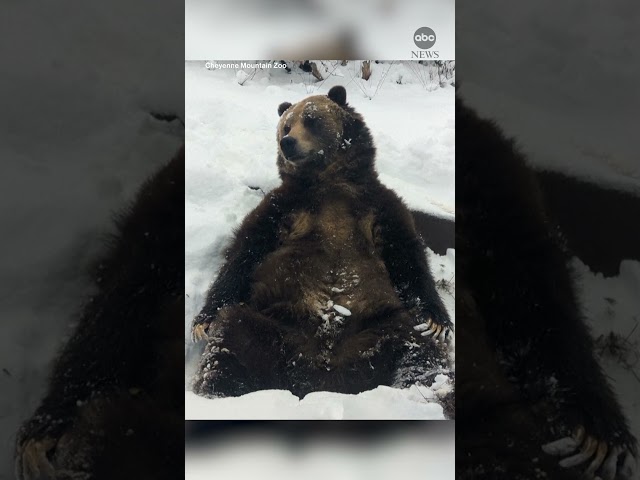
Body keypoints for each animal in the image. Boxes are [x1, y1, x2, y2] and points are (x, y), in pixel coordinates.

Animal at [190, 85, 456, 402]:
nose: (287, 143)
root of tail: (322, 376)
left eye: (311, 119)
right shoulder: (285, 207)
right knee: (231, 335)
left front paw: (439, 322)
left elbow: (407, 256)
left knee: (416, 341)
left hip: (377, 326)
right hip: (274, 323)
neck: (330, 183)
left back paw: (431, 390)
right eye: (286, 125)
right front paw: (201, 322)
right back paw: (217, 392)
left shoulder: (376, 205)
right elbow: (245, 250)